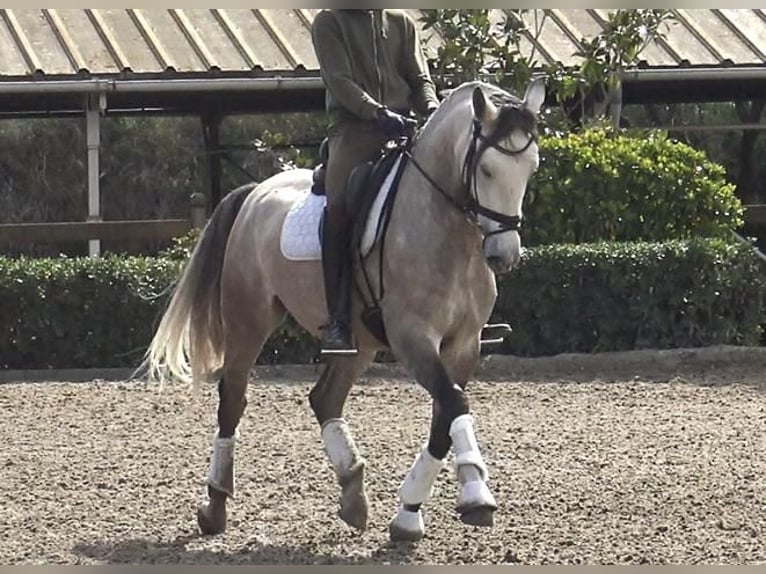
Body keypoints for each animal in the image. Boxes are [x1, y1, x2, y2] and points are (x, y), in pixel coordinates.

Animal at [138, 77, 544, 544]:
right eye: (487, 170)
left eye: (531, 167)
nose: (504, 255)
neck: (448, 232)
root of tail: (255, 192)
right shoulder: (412, 338)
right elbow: (454, 404)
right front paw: (476, 493)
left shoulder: (464, 344)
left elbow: (445, 414)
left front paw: (409, 514)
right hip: (249, 320)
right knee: (232, 401)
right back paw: (215, 505)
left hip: (358, 343)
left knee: (324, 398)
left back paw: (352, 493)